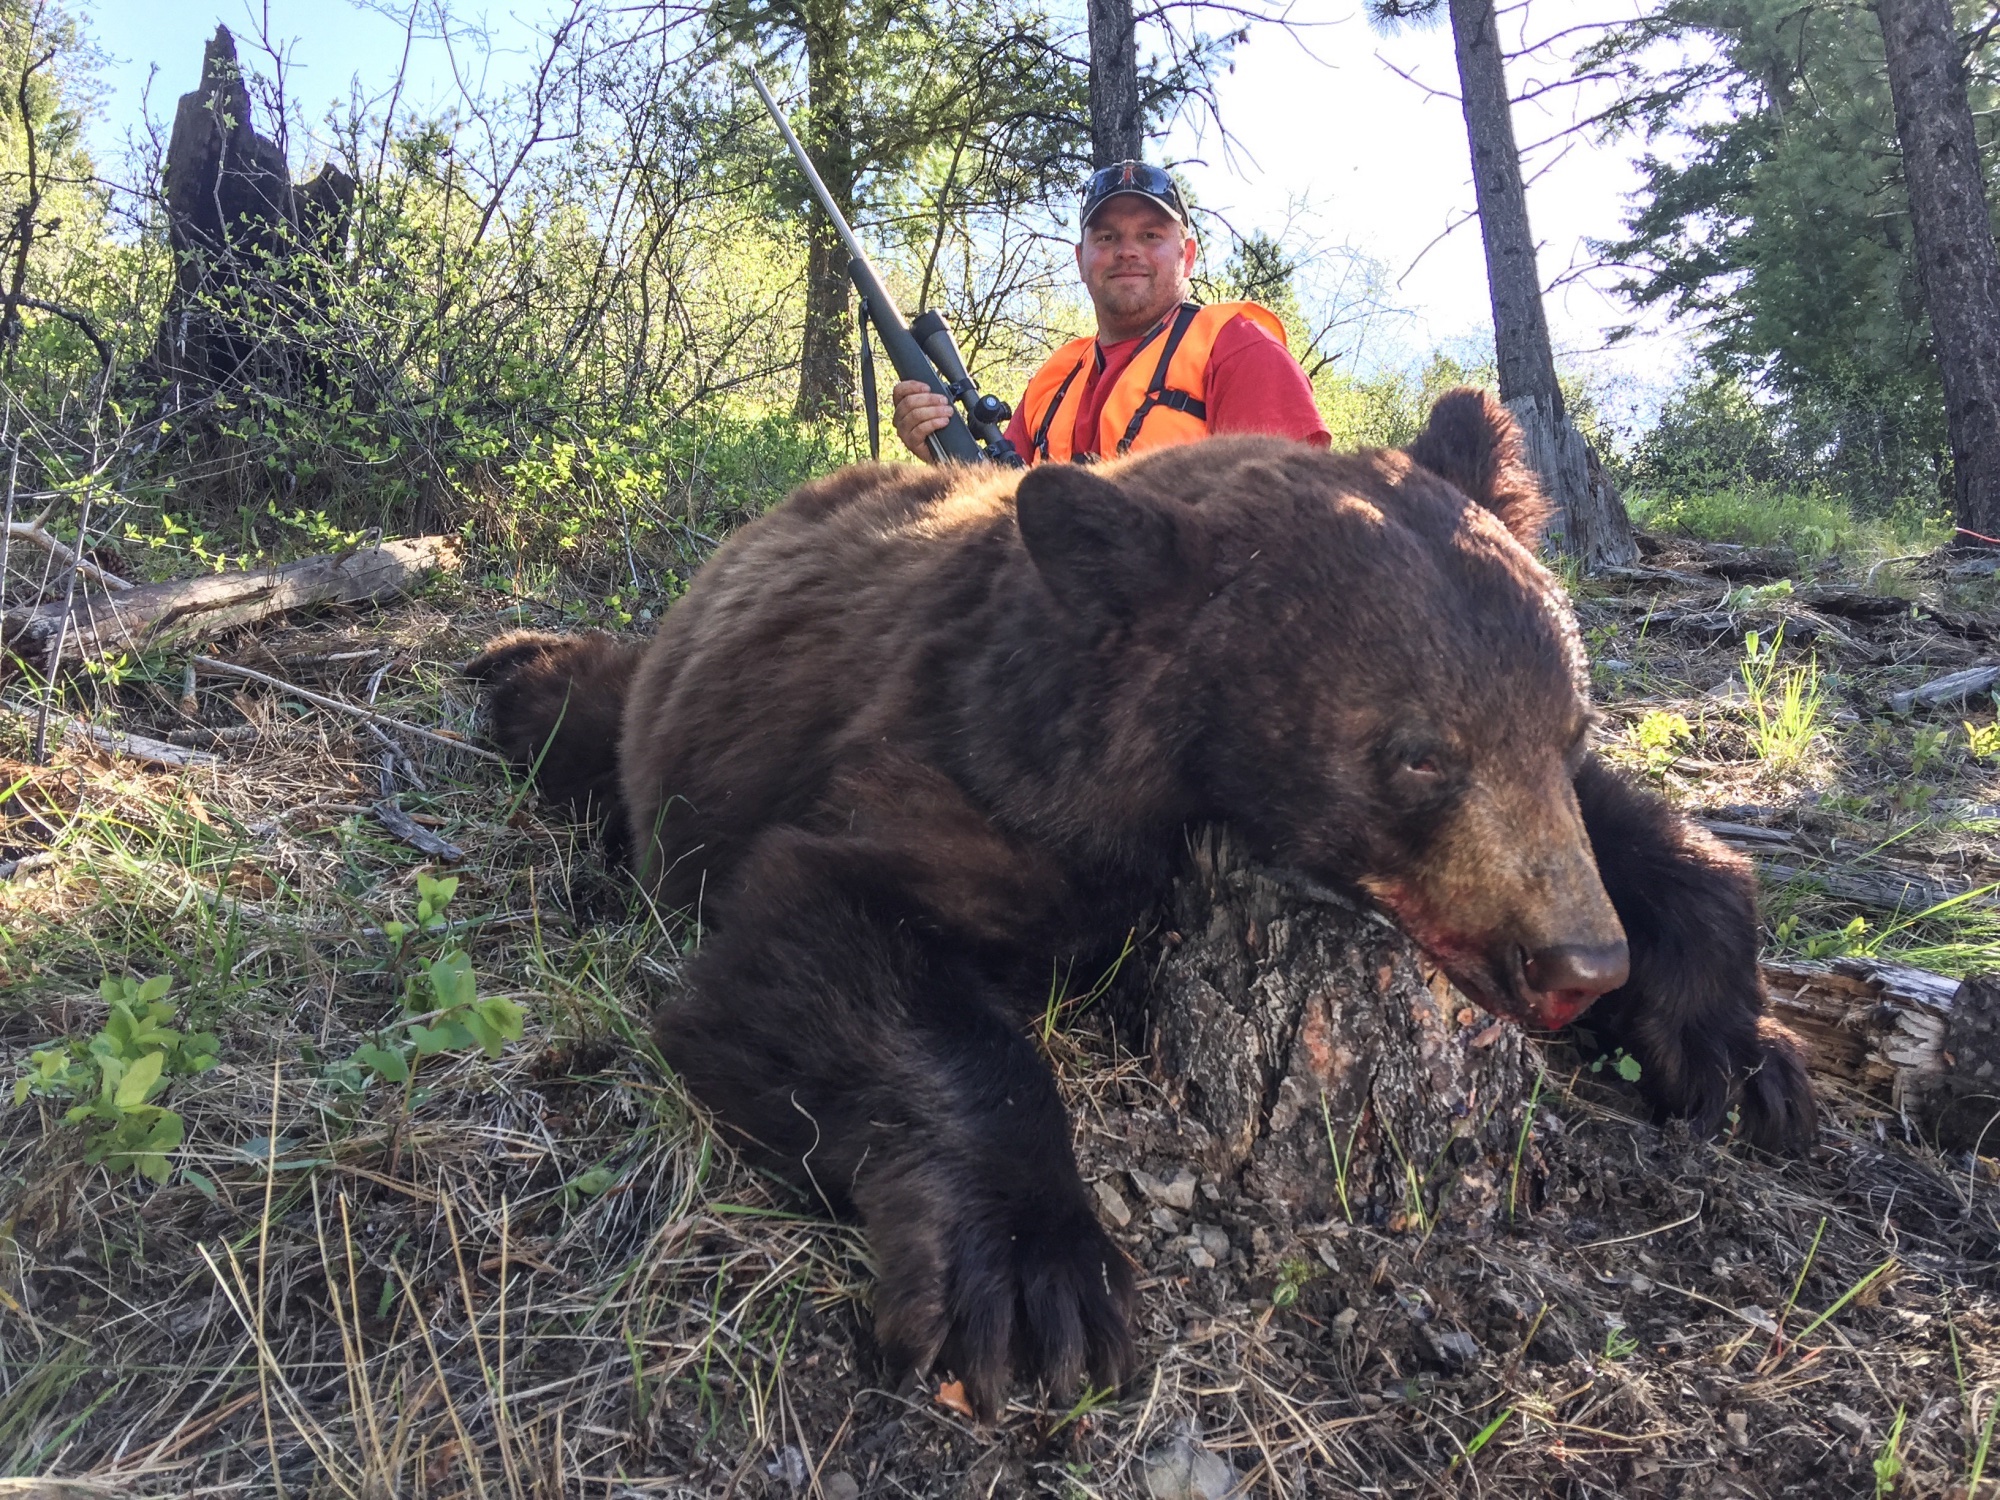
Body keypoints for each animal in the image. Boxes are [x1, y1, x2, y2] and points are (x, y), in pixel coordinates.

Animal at [468, 389, 1815, 1420]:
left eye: (1566, 722)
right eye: (1418, 756)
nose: (1576, 964)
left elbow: (1673, 850)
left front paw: (1739, 1056)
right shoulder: (978, 766)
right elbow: (821, 929)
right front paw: (1032, 1283)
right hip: (653, 728)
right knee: (585, 716)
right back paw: (507, 668)